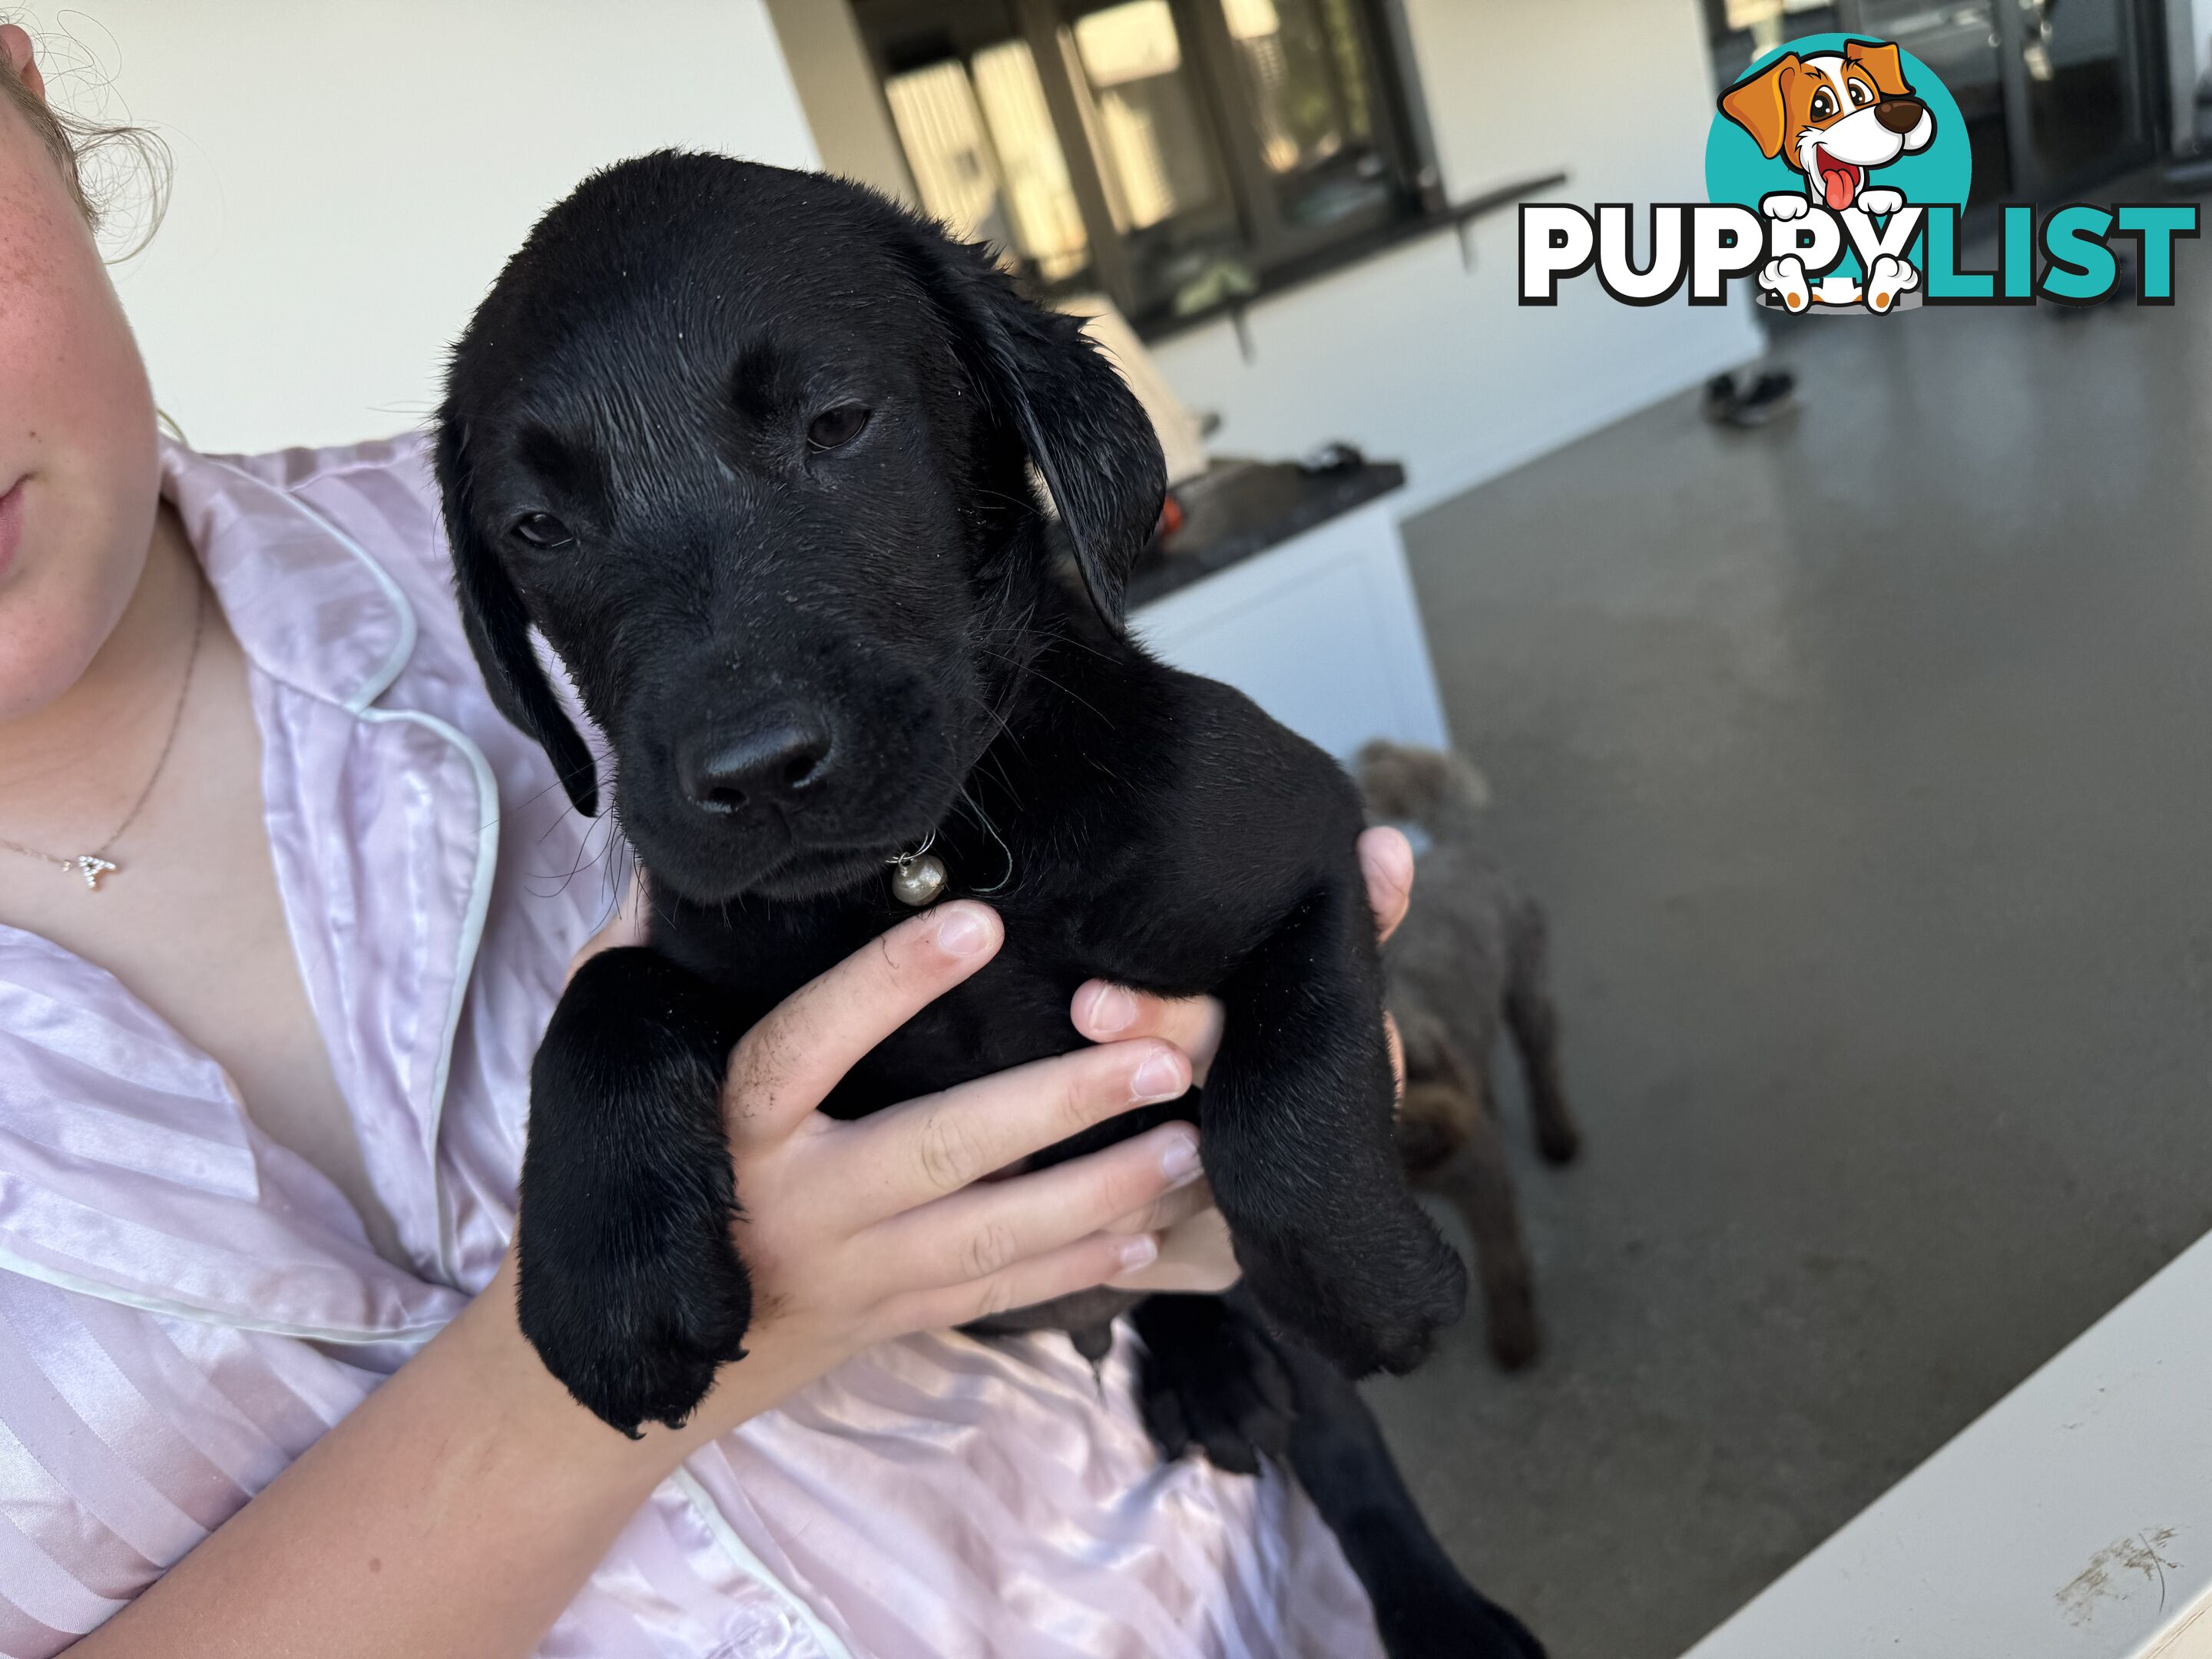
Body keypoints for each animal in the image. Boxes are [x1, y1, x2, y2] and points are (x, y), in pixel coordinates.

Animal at [426, 149, 1539, 1654]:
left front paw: (1380, 1288)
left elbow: (1282, 1120)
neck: (930, 864)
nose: (752, 770)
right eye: (538, 528)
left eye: (839, 424)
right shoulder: (713, 937)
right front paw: (610, 1281)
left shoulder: (1311, 838)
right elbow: (604, 993)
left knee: (1341, 1448)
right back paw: (1207, 1366)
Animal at [1353, 747, 1584, 1371]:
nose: (1424, 1122)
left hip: (1528, 988)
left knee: (1542, 1064)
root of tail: (1453, 846)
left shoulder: (1482, 1182)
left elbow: (1503, 1262)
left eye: (1418, 1069)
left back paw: (1557, 1133)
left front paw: (1515, 1339)